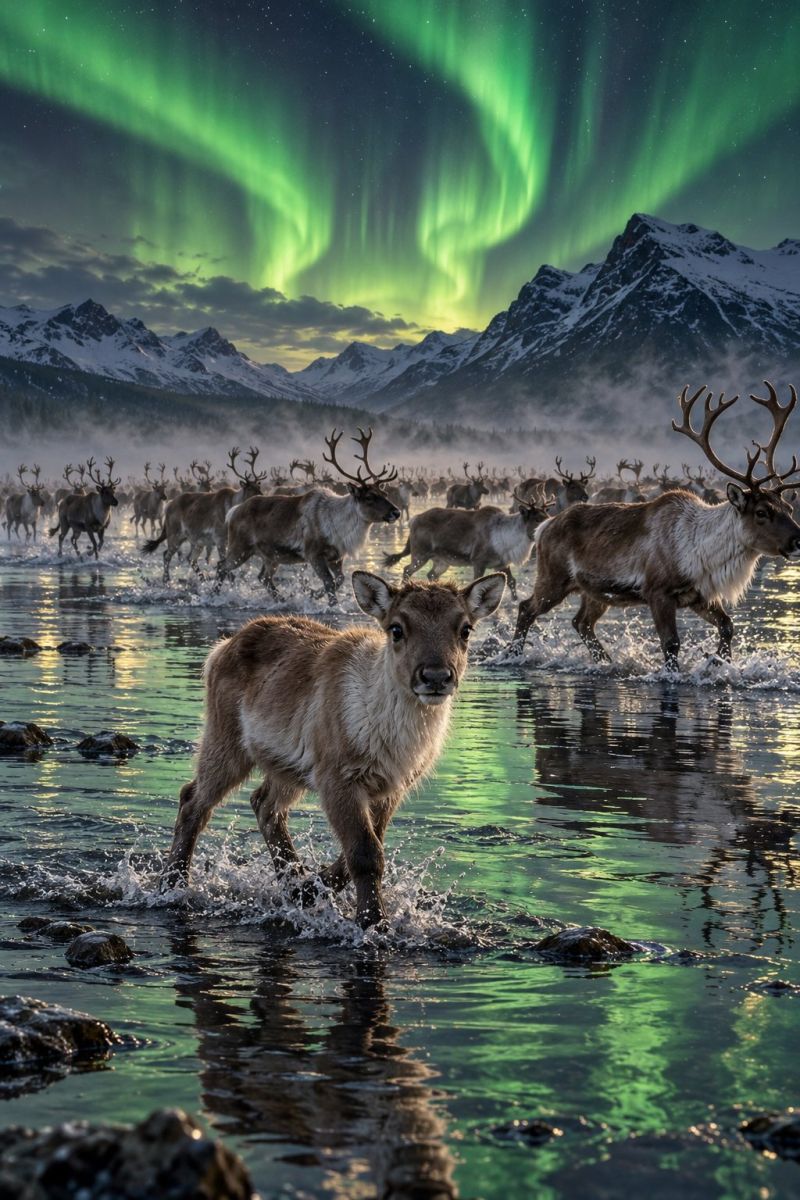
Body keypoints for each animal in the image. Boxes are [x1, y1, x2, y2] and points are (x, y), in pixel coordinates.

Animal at [143, 448, 267, 580]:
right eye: (250, 487)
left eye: (258, 486)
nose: (263, 497)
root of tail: (168, 506)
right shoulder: (219, 538)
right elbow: (224, 563)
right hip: (175, 533)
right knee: (167, 555)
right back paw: (166, 579)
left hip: (194, 540)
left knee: (189, 559)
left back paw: (201, 577)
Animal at [162, 570, 506, 926]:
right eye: (397, 628)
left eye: (465, 628)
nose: (436, 677)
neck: (395, 741)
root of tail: (221, 648)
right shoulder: (337, 778)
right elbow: (365, 853)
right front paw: (373, 922)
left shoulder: (389, 788)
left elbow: (364, 849)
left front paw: (310, 890)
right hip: (225, 742)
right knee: (193, 800)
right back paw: (172, 886)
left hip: (287, 768)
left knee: (264, 804)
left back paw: (292, 884)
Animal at [219, 428, 402, 603]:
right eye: (369, 497)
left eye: (384, 493)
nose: (396, 512)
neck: (339, 525)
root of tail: (234, 511)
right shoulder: (313, 553)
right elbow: (329, 582)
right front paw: (331, 604)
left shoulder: (336, 556)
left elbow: (340, 580)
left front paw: (313, 595)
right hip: (240, 547)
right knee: (222, 567)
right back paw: (215, 595)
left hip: (271, 556)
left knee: (263, 578)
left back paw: (283, 600)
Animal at [384, 486, 552, 599]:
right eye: (537, 519)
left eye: (547, 514)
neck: (508, 539)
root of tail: (414, 520)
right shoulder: (478, 561)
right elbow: (477, 582)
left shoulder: (501, 563)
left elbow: (512, 581)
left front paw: (515, 600)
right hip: (420, 554)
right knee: (407, 569)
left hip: (442, 560)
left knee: (431, 574)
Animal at [511, 382, 800, 669]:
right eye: (761, 512)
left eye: (789, 508)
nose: (797, 539)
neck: (703, 549)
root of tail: (545, 526)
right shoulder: (658, 593)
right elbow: (671, 644)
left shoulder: (699, 596)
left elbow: (727, 626)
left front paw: (720, 661)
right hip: (554, 579)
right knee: (526, 608)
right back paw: (511, 655)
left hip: (595, 591)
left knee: (581, 622)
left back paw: (607, 662)